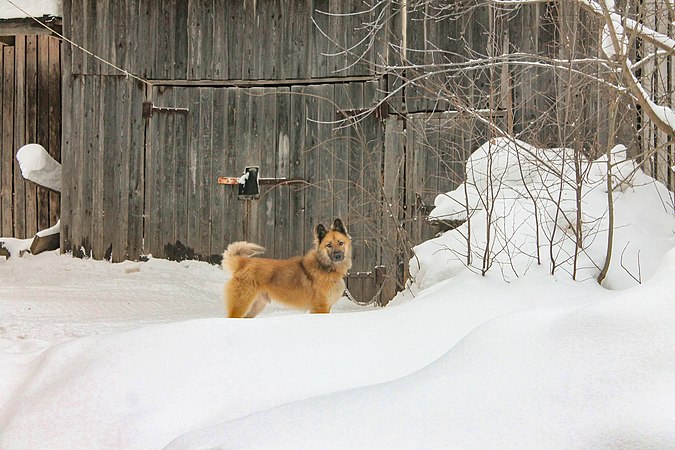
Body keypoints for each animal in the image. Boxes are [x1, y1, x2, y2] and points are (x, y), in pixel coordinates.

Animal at [224, 218, 356, 316]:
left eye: (340, 243)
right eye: (329, 245)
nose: (338, 255)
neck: (326, 267)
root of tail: (243, 262)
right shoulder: (320, 308)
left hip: (255, 307)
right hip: (241, 305)